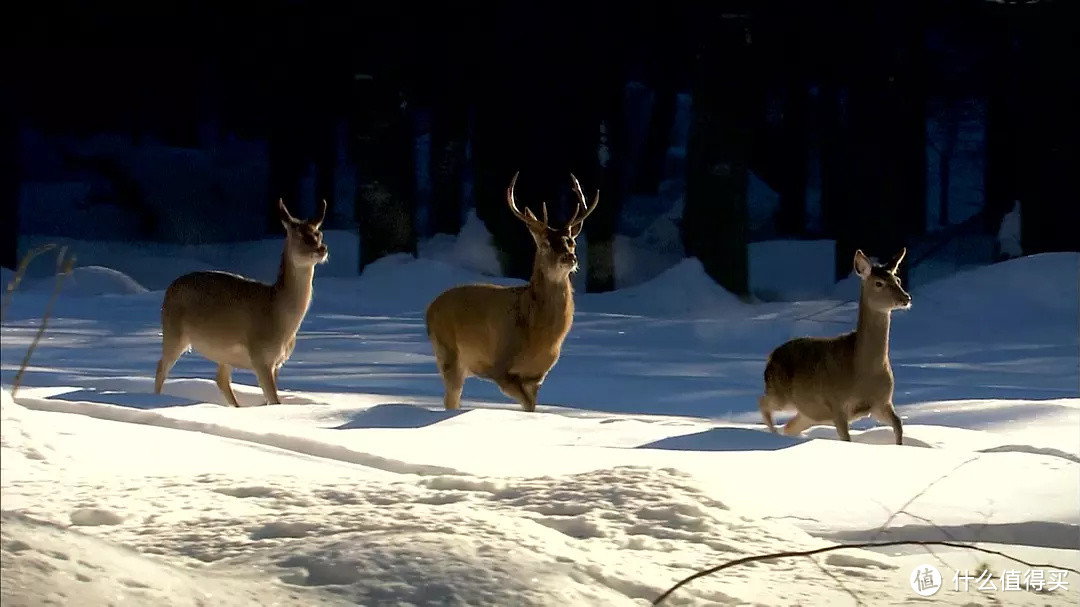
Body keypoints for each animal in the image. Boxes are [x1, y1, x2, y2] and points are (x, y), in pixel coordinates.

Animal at [154, 199, 326, 406]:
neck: (277, 314)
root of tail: (169, 289)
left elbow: (270, 400)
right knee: (161, 367)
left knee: (221, 379)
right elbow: (275, 400)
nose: (322, 249)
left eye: (319, 233)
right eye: (299, 235)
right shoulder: (261, 356)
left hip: (223, 353)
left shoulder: (277, 362)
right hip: (173, 332)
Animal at [423, 170, 600, 410]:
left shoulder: (536, 377)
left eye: (571, 241)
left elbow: (531, 407)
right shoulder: (499, 366)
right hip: (449, 352)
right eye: (545, 244)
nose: (569, 257)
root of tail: (429, 309)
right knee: (450, 399)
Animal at [760, 247, 911, 444]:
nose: (906, 298)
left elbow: (898, 424)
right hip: (780, 393)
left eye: (897, 280)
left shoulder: (882, 402)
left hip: (809, 413)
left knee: (789, 426)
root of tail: (770, 357)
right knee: (762, 403)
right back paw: (773, 435)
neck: (861, 370)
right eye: (879, 283)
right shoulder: (836, 404)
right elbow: (846, 440)